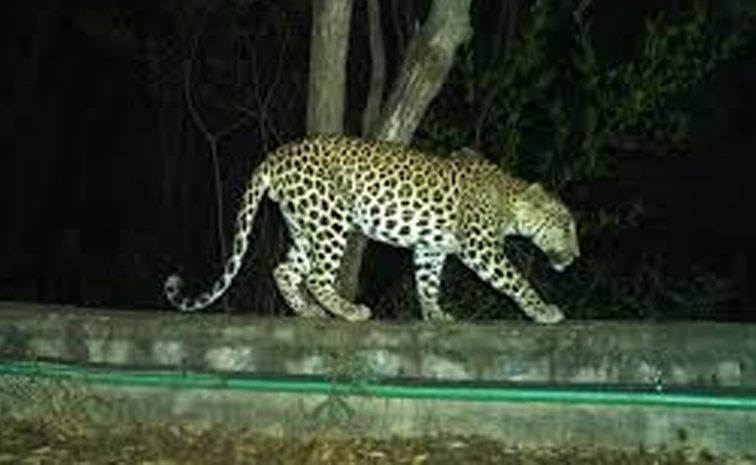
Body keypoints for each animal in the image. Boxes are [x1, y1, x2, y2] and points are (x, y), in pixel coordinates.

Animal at [164, 135, 580, 323]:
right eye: (565, 226)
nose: (576, 257)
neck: (510, 200)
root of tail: (276, 154)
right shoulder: (481, 247)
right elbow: (516, 280)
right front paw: (544, 311)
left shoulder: (430, 247)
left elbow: (427, 282)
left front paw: (435, 315)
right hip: (331, 218)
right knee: (316, 276)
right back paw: (348, 311)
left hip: (304, 226)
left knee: (284, 270)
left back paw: (308, 312)